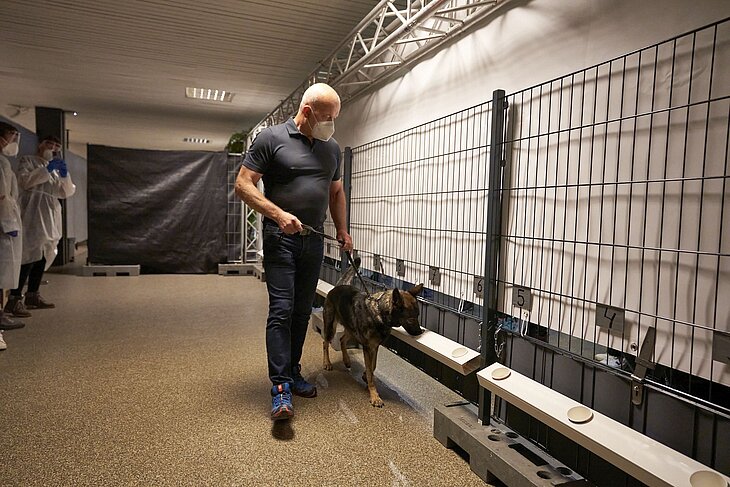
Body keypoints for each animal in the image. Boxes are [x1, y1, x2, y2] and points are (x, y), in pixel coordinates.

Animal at [322, 260, 424, 408]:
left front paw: (365, 375)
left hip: (351, 330)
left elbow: (373, 366)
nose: (420, 332)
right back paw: (327, 363)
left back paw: (346, 360)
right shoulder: (367, 347)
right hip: (331, 327)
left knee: (342, 339)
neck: (380, 312)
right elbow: (371, 371)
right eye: (411, 319)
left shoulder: (374, 347)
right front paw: (374, 396)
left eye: (418, 315)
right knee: (325, 342)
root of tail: (338, 287)